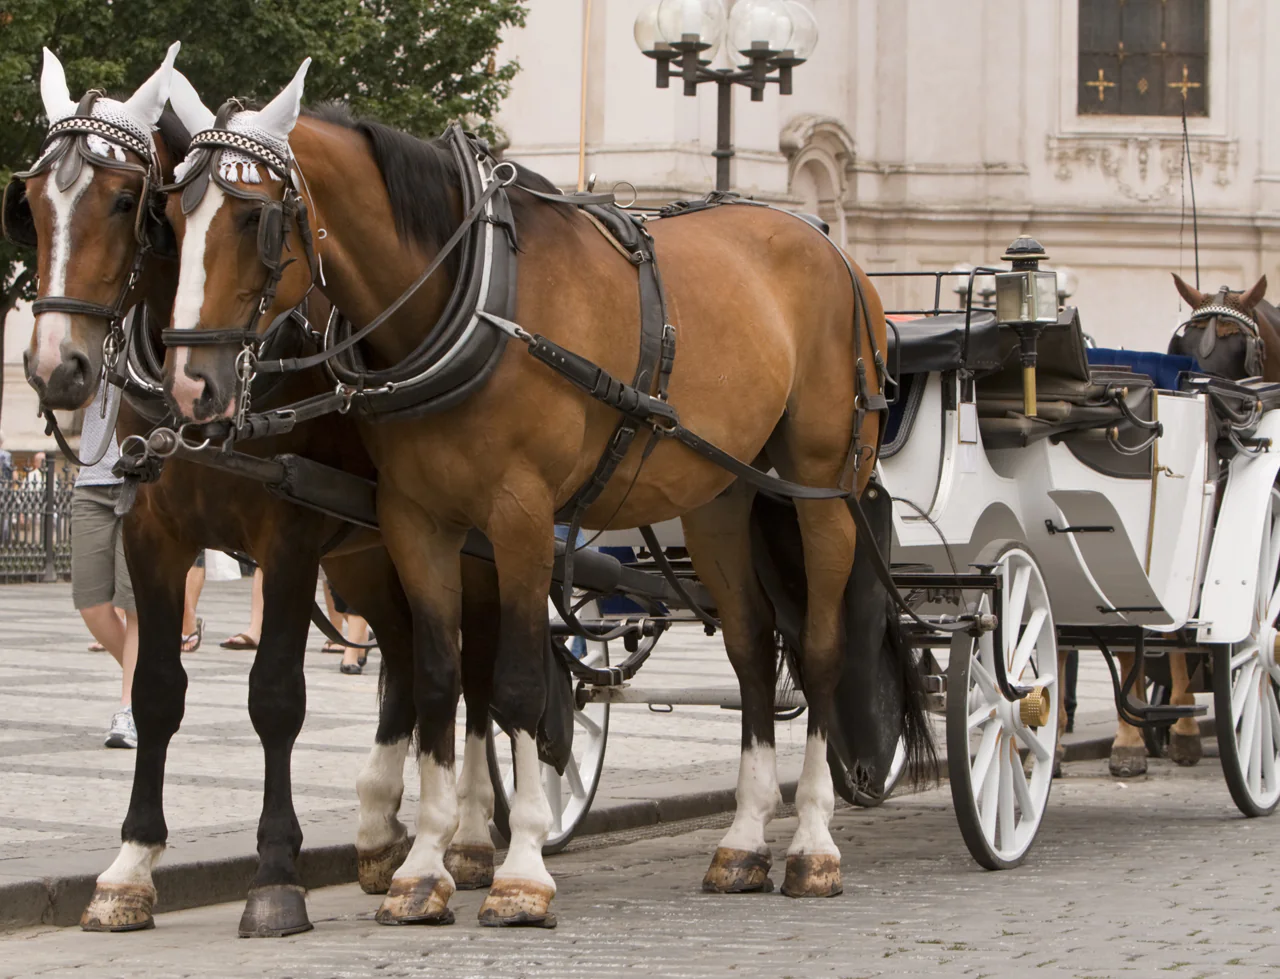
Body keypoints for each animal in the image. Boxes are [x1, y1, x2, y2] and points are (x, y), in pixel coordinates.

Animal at [17, 49, 501, 936]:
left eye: (126, 201)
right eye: (31, 206)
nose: (55, 367)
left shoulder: (289, 537)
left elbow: (276, 694)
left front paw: (276, 873)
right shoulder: (154, 536)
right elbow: (157, 689)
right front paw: (130, 867)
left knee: (480, 669)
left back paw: (476, 836)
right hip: (371, 554)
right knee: (407, 658)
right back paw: (381, 833)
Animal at [160, 61, 921, 926]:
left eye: (253, 218)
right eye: (171, 217)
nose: (190, 386)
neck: (473, 298)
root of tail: (833, 246)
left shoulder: (520, 517)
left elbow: (519, 683)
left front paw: (520, 866)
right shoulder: (416, 522)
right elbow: (438, 681)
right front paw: (424, 865)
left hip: (822, 489)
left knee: (821, 647)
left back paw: (813, 843)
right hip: (723, 500)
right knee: (755, 652)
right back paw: (744, 840)